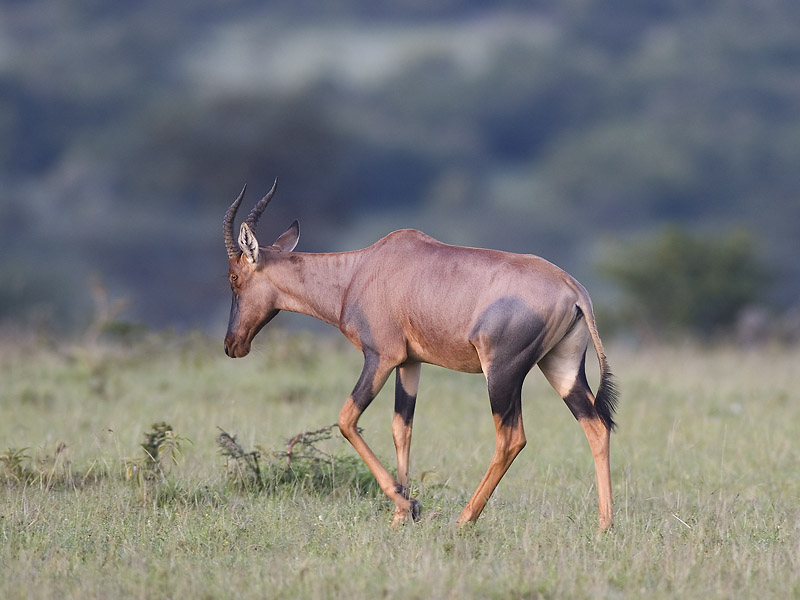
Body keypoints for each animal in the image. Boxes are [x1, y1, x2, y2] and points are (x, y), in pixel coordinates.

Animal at [223, 179, 620, 528]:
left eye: (233, 277)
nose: (231, 345)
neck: (361, 270)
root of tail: (573, 289)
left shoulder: (380, 357)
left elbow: (347, 419)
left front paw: (408, 505)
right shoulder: (410, 363)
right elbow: (402, 428)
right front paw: (401, 515)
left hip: (503, 373)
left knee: (512, 438)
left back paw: (464, 520)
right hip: (561, 366)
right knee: (596, 425)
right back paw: (605, 525)